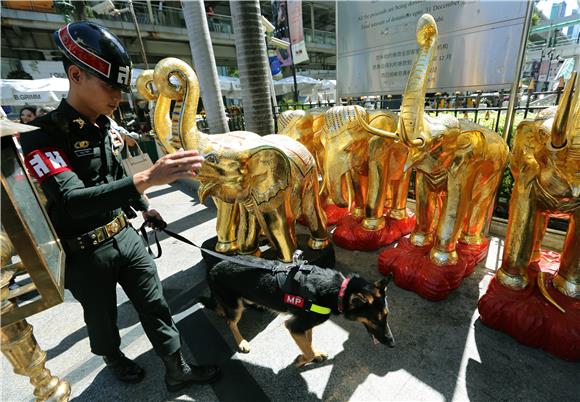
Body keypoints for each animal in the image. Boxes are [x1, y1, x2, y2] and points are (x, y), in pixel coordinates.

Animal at [202, 256, 396, 366]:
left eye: (386, 317)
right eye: (375, 320)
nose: (393, 344)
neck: (340, 291)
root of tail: (213, 267)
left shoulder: (305, 325)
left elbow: (308, 343)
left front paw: (315, 354)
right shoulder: (294, 326)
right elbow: (307, 351)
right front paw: (302, 360)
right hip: (235, 307)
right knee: (230, 321)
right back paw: (241, 341)